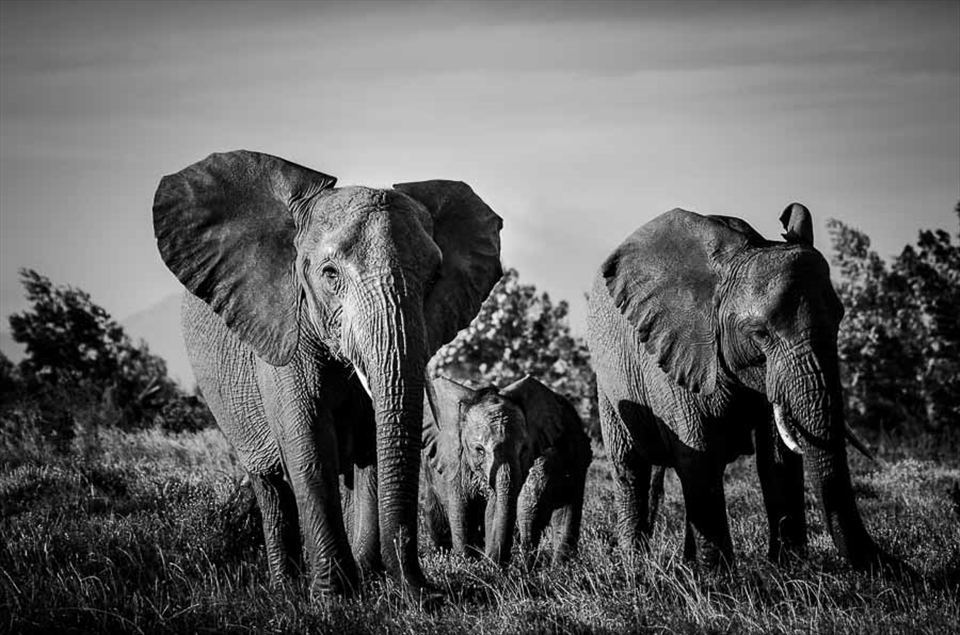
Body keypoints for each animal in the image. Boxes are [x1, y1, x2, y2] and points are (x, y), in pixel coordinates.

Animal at [152, 150, 503, 597]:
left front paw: (370, 582)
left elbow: (371, 448)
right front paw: (335, 597)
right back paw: (285, 590)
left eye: (434, 278)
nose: (430, 593)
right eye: (330, 274)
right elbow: (310, 445)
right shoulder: (284, 324)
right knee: (270, 486)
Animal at [419, 375, 592, 566]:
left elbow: (495, 510)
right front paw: (468, 565)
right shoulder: (455, 461)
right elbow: (461, 512)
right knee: (435, 516)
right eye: (479, 449)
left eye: (524, 449)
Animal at [586, 203, 900, 572]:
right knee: (630, 466)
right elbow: (698, 457)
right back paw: (637, 566)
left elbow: (777, 459)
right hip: (609, 383)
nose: (899, 569)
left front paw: (788, 570)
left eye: (839, 320)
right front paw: (719, 577)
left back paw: (686, 566)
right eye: (761, 334)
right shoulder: (673, 352)